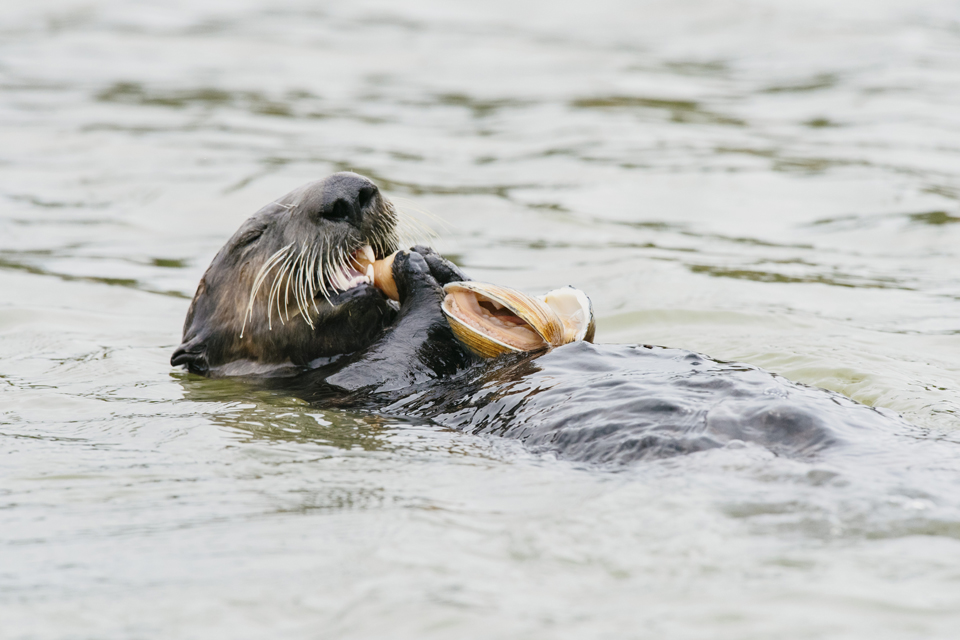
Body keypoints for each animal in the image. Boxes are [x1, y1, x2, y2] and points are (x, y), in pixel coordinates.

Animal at [172, 172, 908, 462]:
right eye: (252, 237)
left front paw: (437, 262)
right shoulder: (352, 386)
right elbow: (397, 353)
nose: (350, 193)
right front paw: (419, 273)